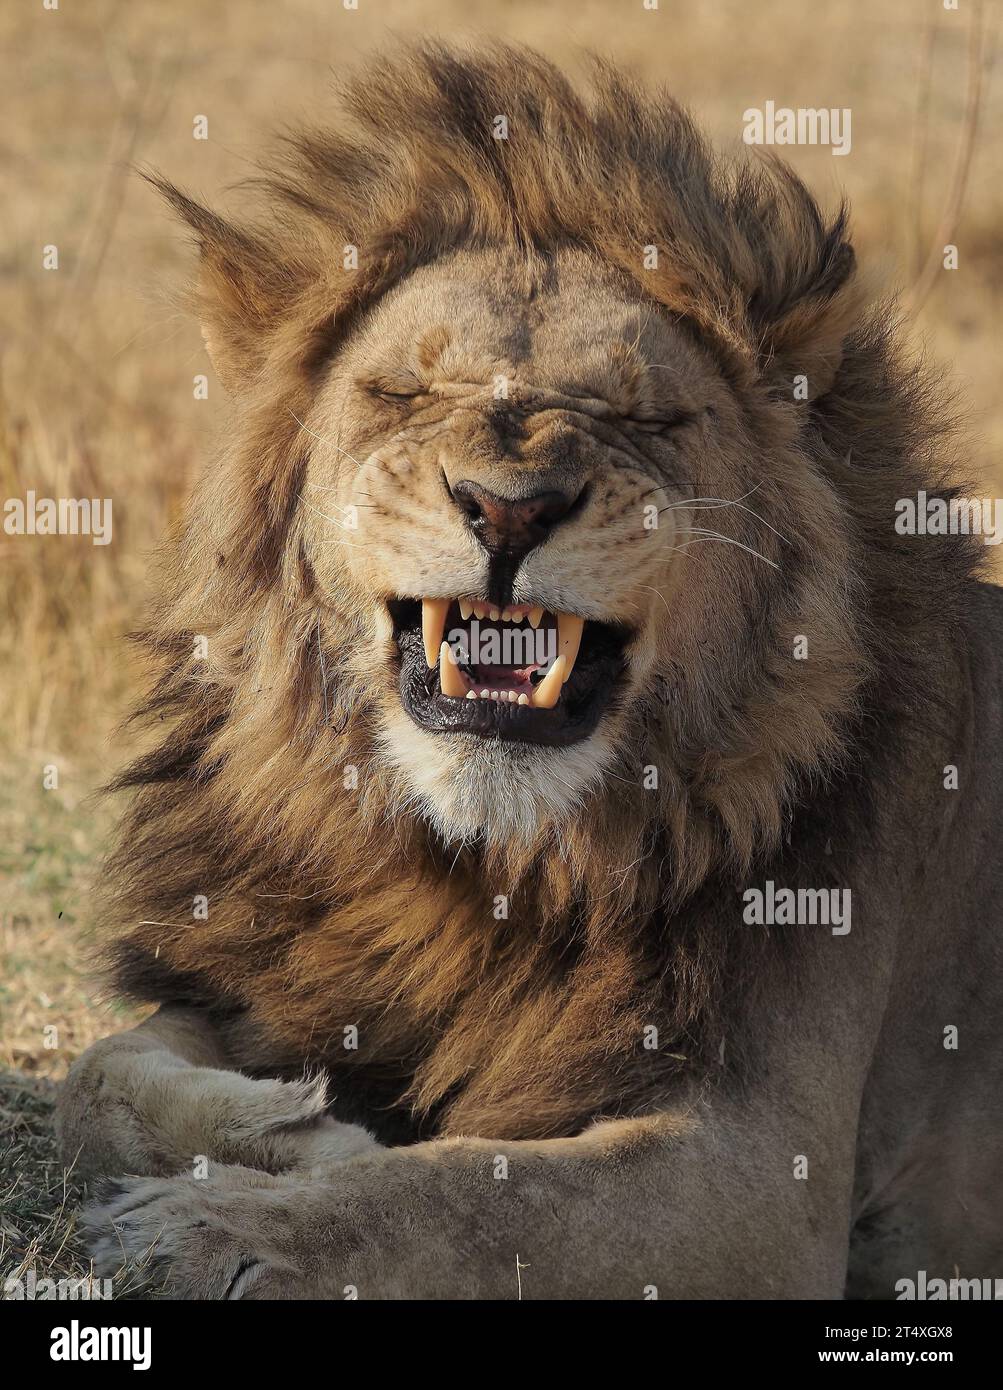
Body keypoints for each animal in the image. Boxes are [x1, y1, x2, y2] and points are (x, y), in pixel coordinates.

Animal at [56, 43, 1000, 1295]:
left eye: (646, 415)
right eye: (403, 393)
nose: (509, 506)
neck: (494, 865)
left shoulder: (763, 1172)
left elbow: (470, 1195)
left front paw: (222, 1227)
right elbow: (95, 1074)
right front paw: (297, 1127)